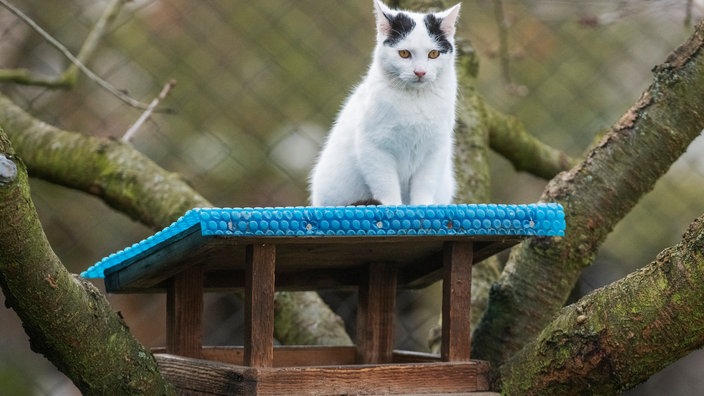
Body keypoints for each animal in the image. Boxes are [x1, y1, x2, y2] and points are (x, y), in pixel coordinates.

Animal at [310, 0, 460, 207]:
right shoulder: (375, 147)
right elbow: (386, 184)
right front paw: (393, 205)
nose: (420, 72)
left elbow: (425, 183)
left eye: (433, 54)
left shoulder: (435, 149)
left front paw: (422, 206)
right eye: (404, 53)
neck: (415, 99)